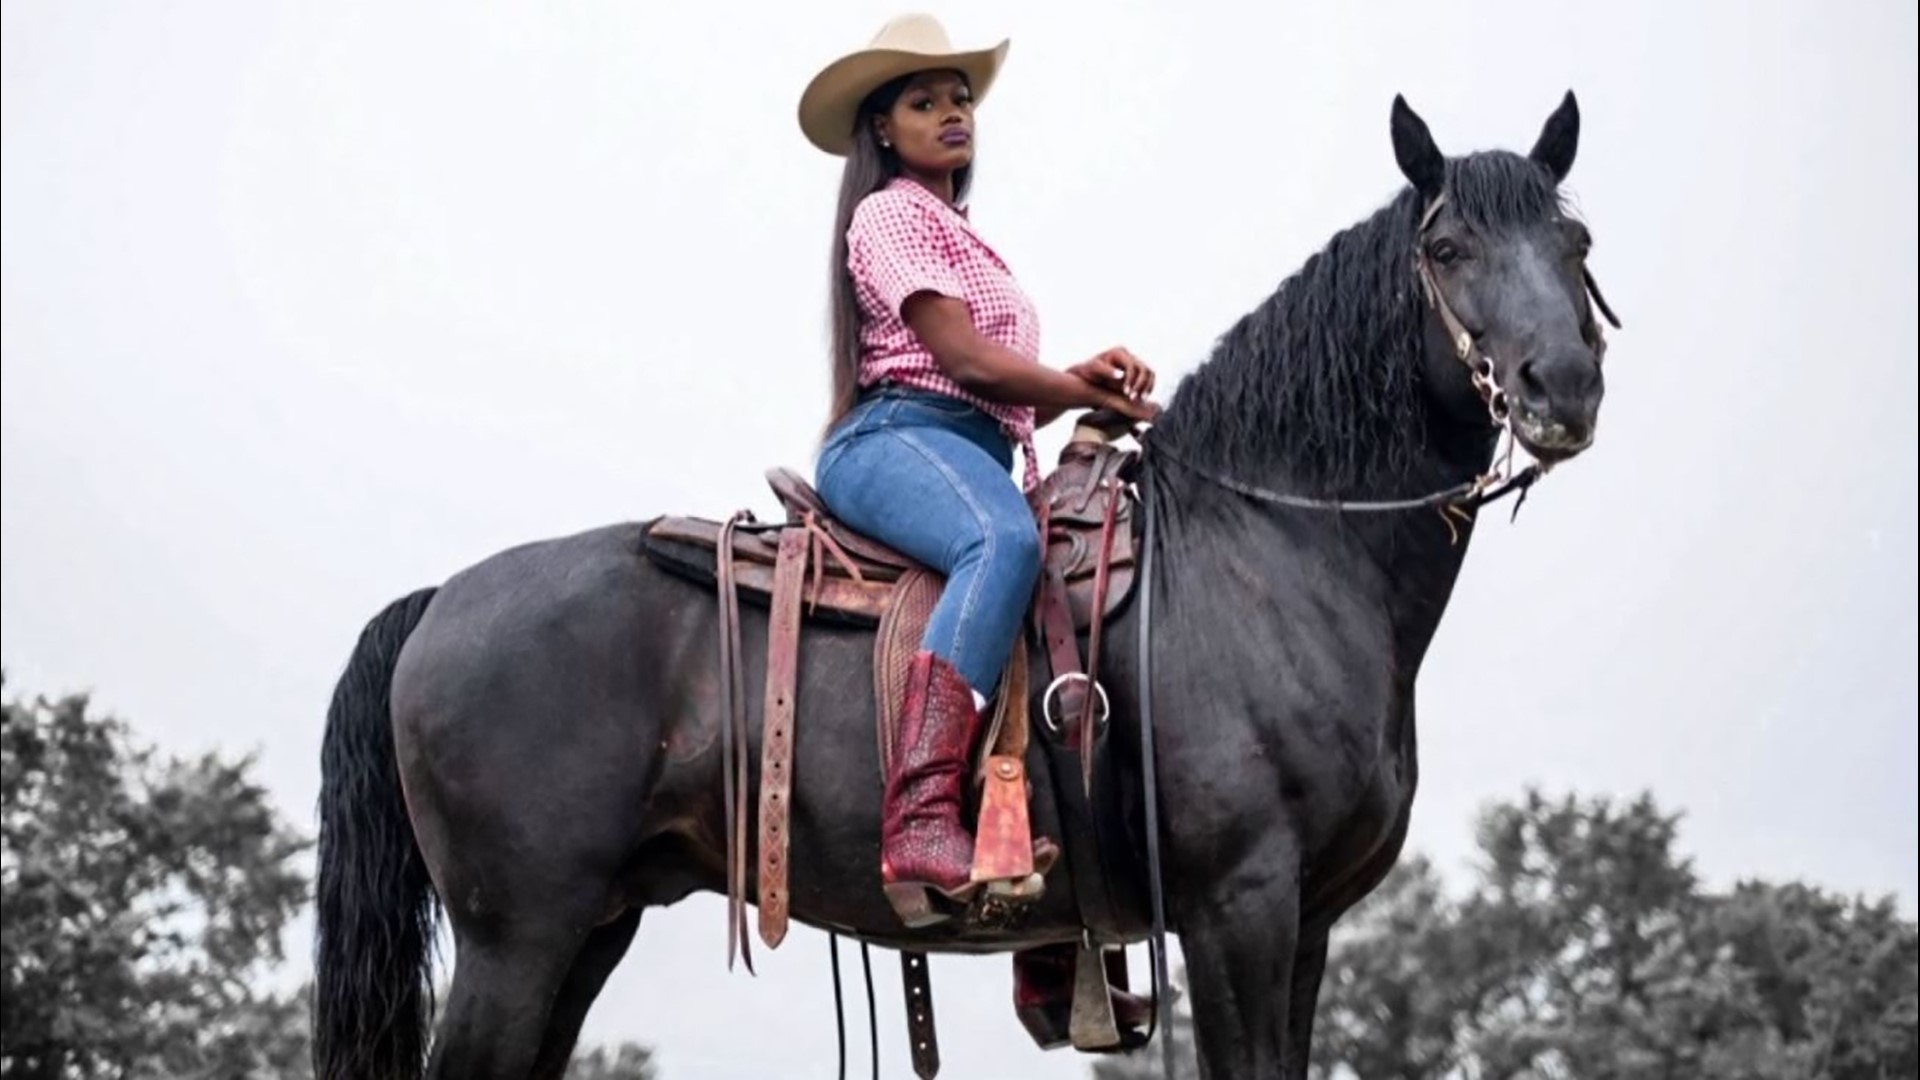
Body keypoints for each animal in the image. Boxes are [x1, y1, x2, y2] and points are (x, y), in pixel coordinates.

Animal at [314, 94, 1620, 1076]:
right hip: (515, 938)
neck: (1270, 551)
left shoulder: (1309, 923)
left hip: (586, 929)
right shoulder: (1239, 904)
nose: (1562, 387)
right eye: (1446, 250)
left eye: (1577, 248)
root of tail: (440, 602)